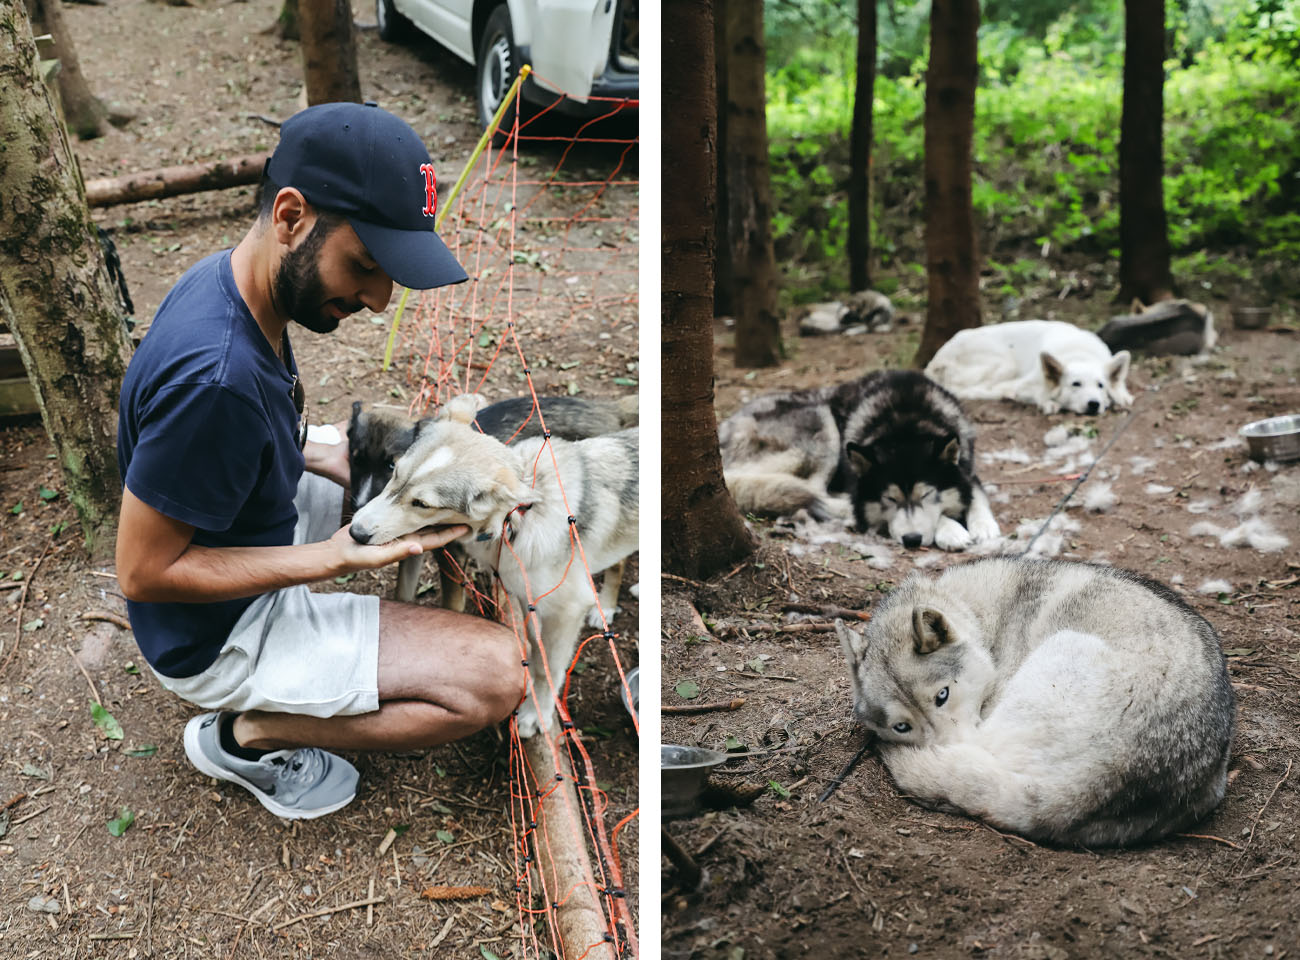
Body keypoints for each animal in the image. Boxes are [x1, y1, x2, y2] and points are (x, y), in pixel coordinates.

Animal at [717, 369, 998, 548]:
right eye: (889, 499)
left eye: (927, 494)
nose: (912, 540)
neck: (906, 422)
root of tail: (722, 429)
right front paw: (952, 531)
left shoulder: (967, 469)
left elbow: (975, 495)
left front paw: (984, 526)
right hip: (821, 421)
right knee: (810, 489)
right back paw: (849, 509)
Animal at [837, 554, 1232, 842]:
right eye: (902, 726)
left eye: (942, 696)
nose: (945, 750)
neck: (978, 614)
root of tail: (1108, 777)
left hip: (1061, 651)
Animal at [930, 320, 1133, 413]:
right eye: (1076, 384)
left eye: (1100, 386)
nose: (1094, 404)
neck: (1080, 354)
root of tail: (935, 359)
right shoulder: (1025, 385)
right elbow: (1038, 394)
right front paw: (1048, 403)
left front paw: (1121, 398)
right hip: (1006, 364)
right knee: (970, 390)